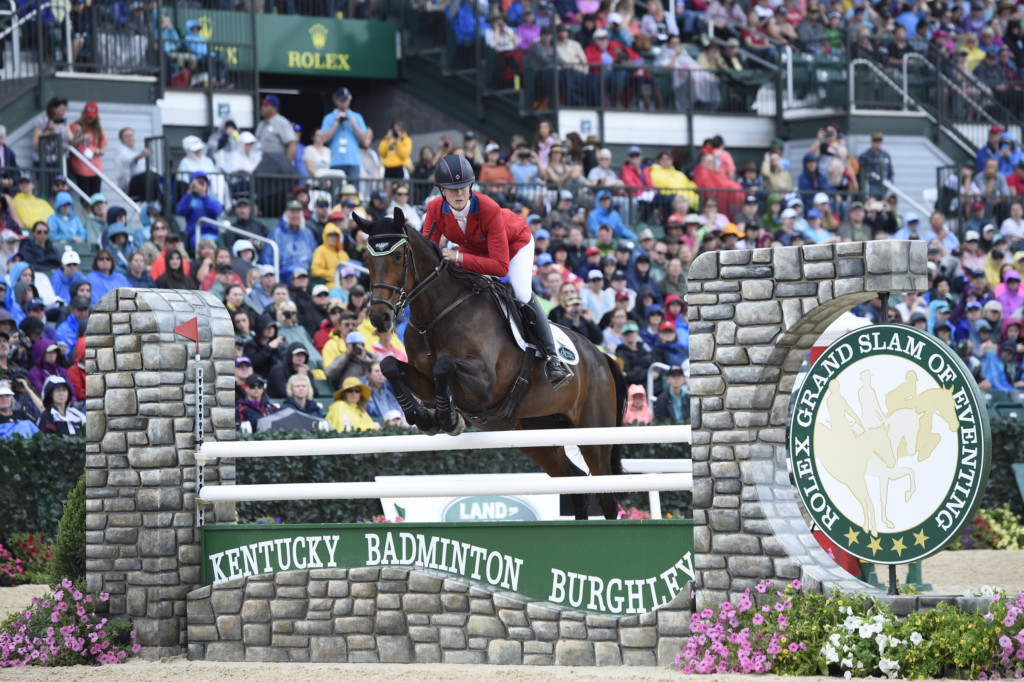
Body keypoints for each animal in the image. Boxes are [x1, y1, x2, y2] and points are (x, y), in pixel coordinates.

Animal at [360, 209, 630, 518]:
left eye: (397, 256)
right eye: (367, 258)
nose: (379, 318)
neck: (435, 314)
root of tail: (601, 357)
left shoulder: (485, 384)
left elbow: (444, 366)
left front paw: (449, 419)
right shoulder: (425, 381)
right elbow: (390, 366)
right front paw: (425, 418)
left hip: (594, 433)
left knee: (605, 493)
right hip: (537, 434)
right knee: (576, 482)